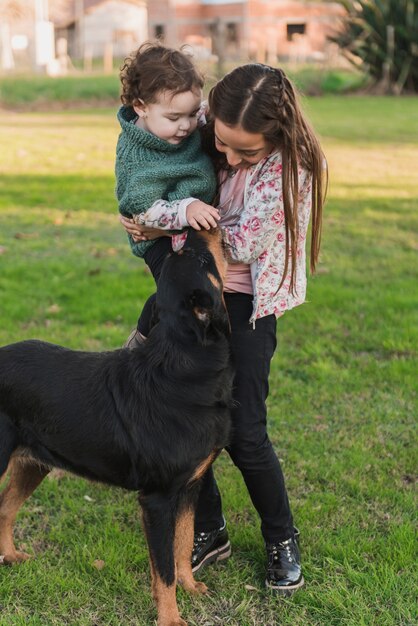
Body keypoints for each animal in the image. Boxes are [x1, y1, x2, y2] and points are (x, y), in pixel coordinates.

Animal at [0, 228, 232, 624]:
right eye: (202, 260)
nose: (197, 228)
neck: (185, 367)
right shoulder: (157, 499)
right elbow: (164, 567)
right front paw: (170, 617)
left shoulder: (189, 486)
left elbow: (183, 543)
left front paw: (190, 587)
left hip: (33, 463)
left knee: (4, 508)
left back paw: (11, 556)